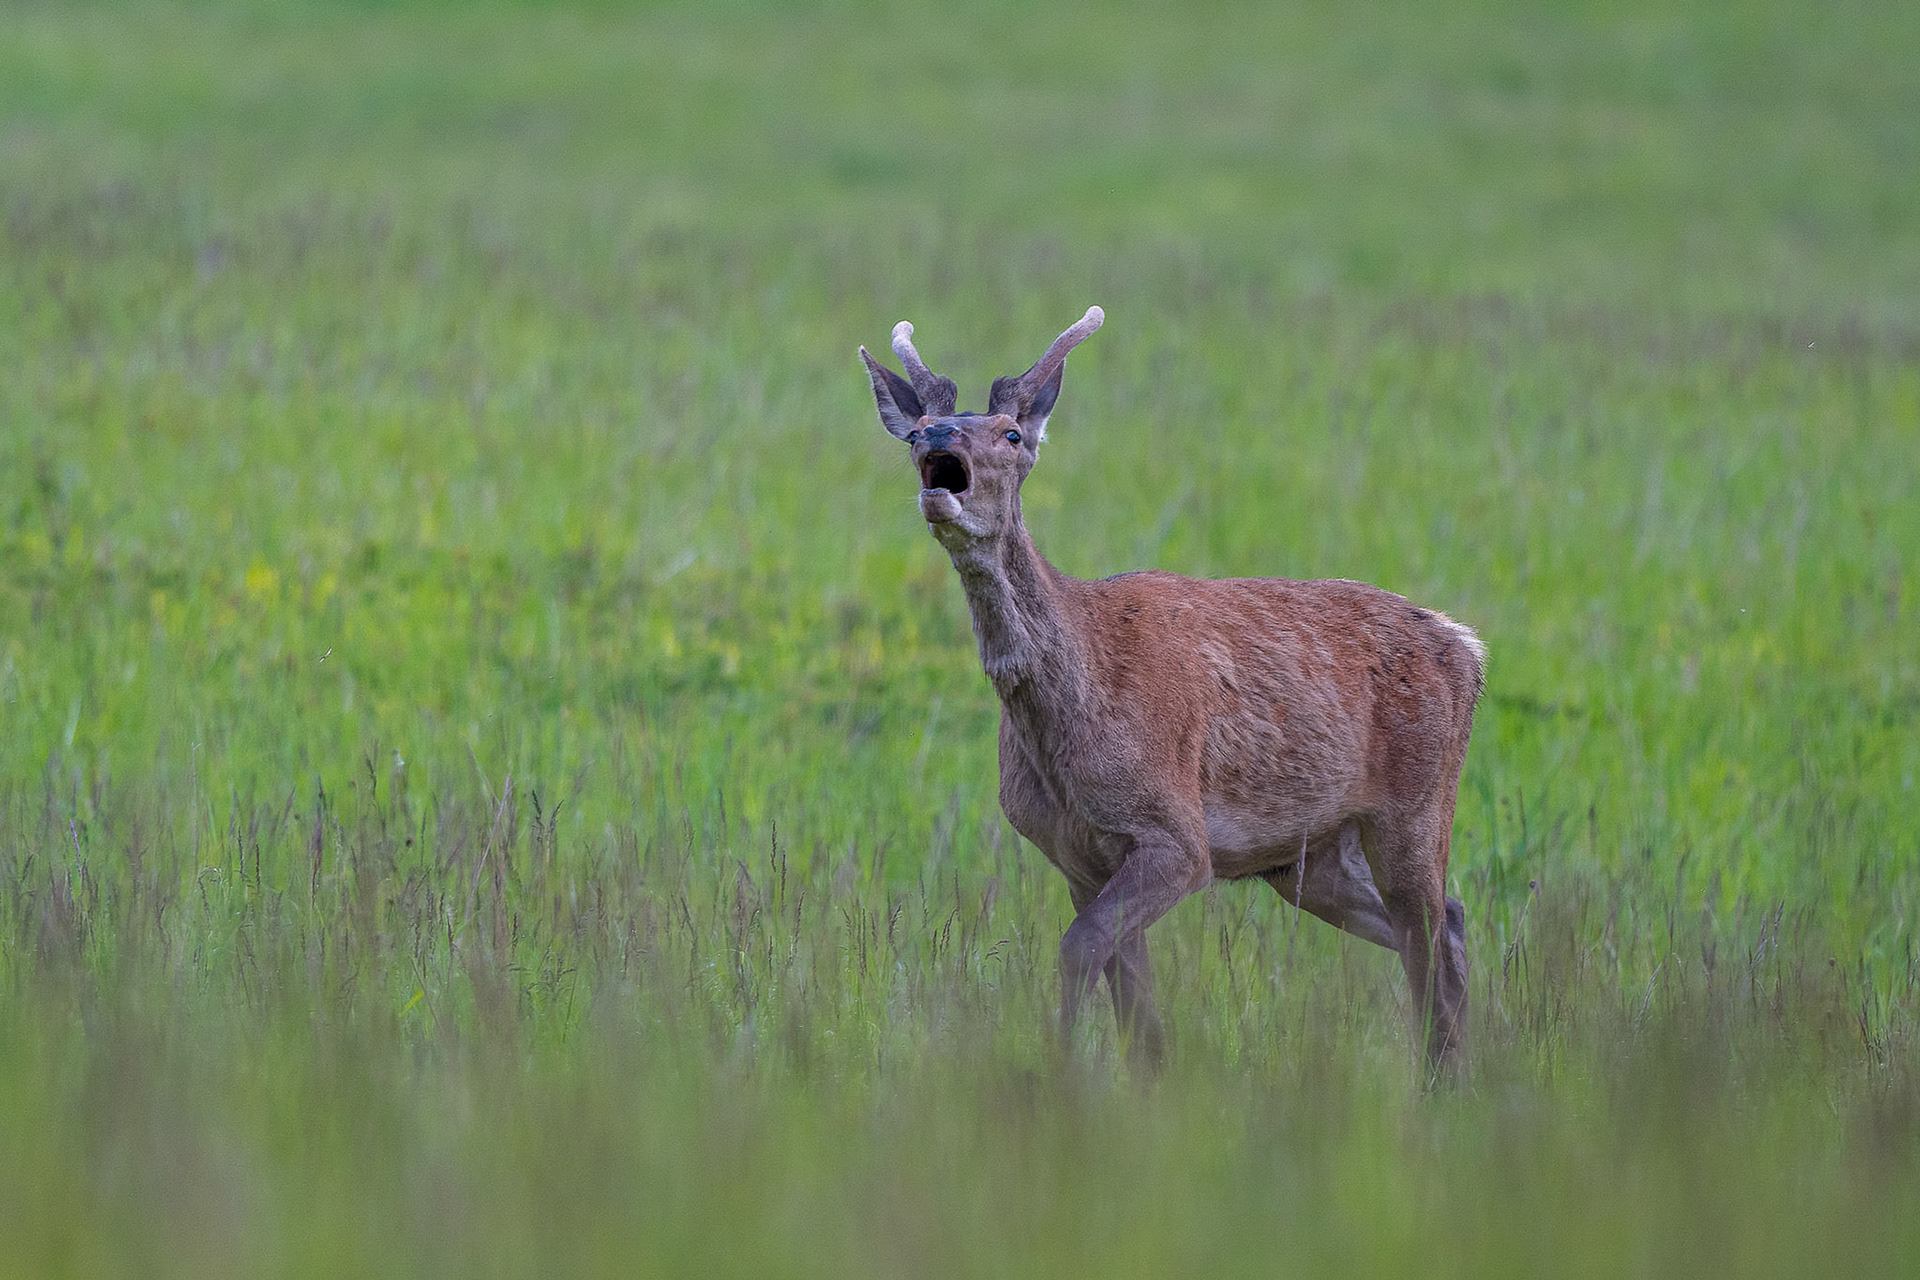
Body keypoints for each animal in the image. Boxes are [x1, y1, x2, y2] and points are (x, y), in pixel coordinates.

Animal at [859, 307, 1482, 1072]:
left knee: (1429, 935)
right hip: (1307, 856)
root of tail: (1467, 647)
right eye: (918, 429)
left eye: (1011, 433)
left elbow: (1079, 951)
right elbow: (1136, 1012)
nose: (940, 440)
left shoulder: (1177, 833)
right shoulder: (1079, 857)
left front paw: (1059, 1071)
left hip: (1416, 803)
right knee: (1448, 922)